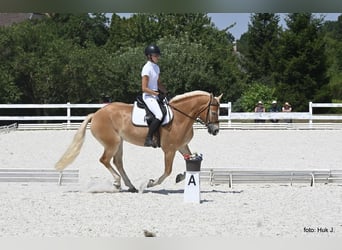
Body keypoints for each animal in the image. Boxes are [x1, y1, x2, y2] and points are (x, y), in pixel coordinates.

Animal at [54, 91, 223, 192]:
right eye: (214, 112)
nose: (215, 131)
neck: (181, 117)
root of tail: (96, 114)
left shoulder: (182, 146)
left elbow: (190, 161)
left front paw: (181, 176)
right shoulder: (169, 150)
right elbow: (167, 171)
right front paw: (150, 183)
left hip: (119, 143)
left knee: (117, 162)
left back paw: (130, 186)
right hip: (112, 143)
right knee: (105, 160)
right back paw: (117, 182)